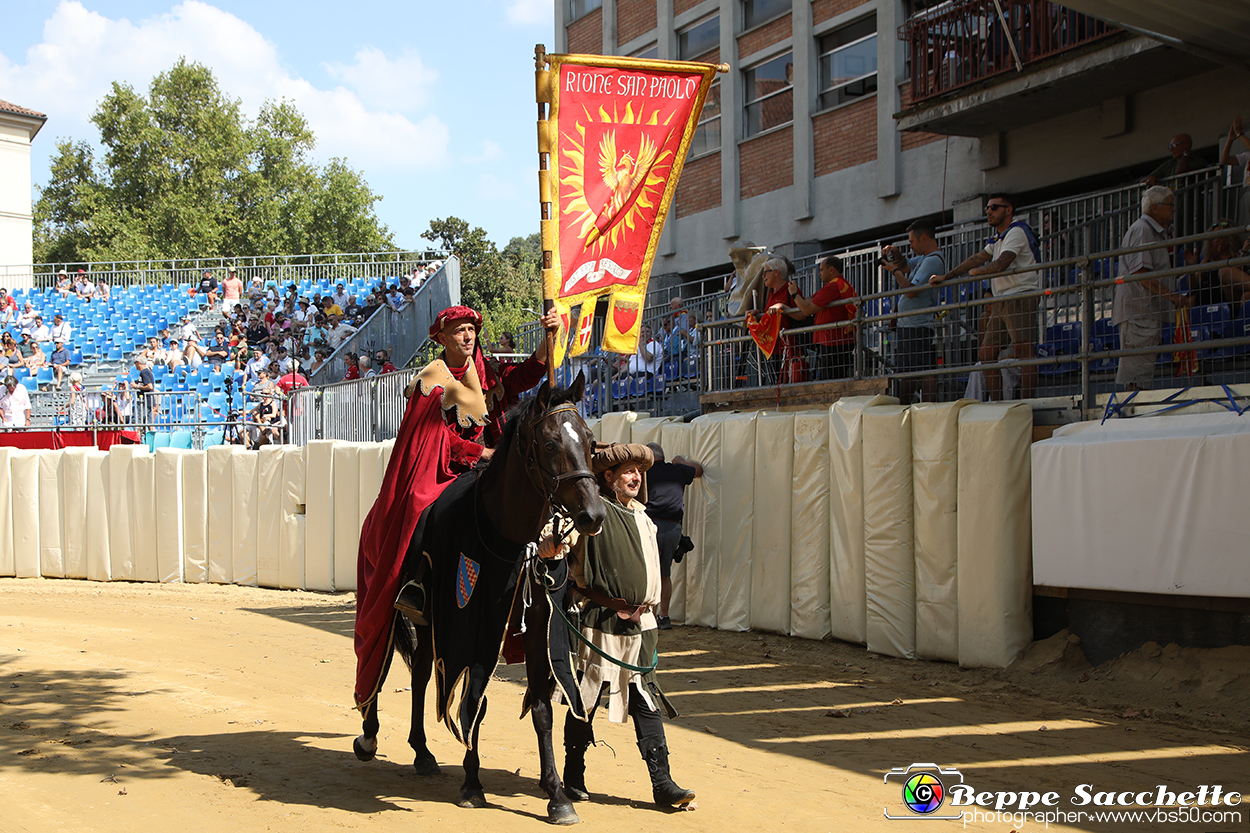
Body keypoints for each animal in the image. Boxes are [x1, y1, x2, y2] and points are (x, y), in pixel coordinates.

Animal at [352, 372, 605, 820]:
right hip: (396, 606)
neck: (508, 532)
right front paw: (472, 784)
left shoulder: (538, 625)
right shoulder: (470, 625)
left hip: (432, 621)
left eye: (590, 441)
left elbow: (541, 708)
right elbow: (475, 702)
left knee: (420, 673)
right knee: (377, 664)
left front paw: (557, 795)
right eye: (550, 444)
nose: (593, 516)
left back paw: (421, 752)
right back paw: (368, 736)